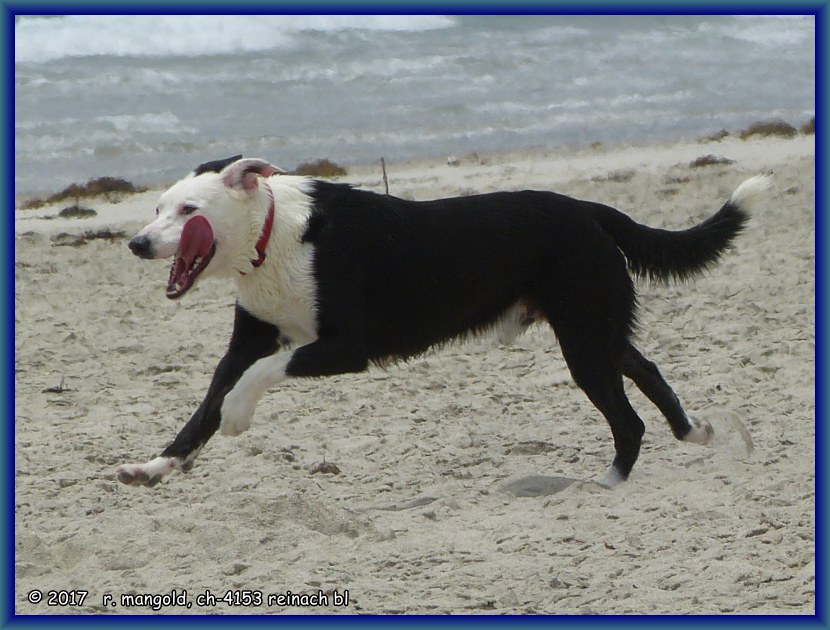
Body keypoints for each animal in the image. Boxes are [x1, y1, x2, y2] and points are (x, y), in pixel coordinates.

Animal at [114, 157, 772, 488]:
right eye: (157, 207)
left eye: (189, 211)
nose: (137, 243)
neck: (273, 236)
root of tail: (590, 210)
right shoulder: (247, 341)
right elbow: (203, 408)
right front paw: (157, 466)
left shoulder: (349, 346)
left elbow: (254, 382)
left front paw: (238, 417)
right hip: (596, 328)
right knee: (649, 371)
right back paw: (693, 432)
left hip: (584, 342)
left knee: (628, 419)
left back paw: (611, 480)